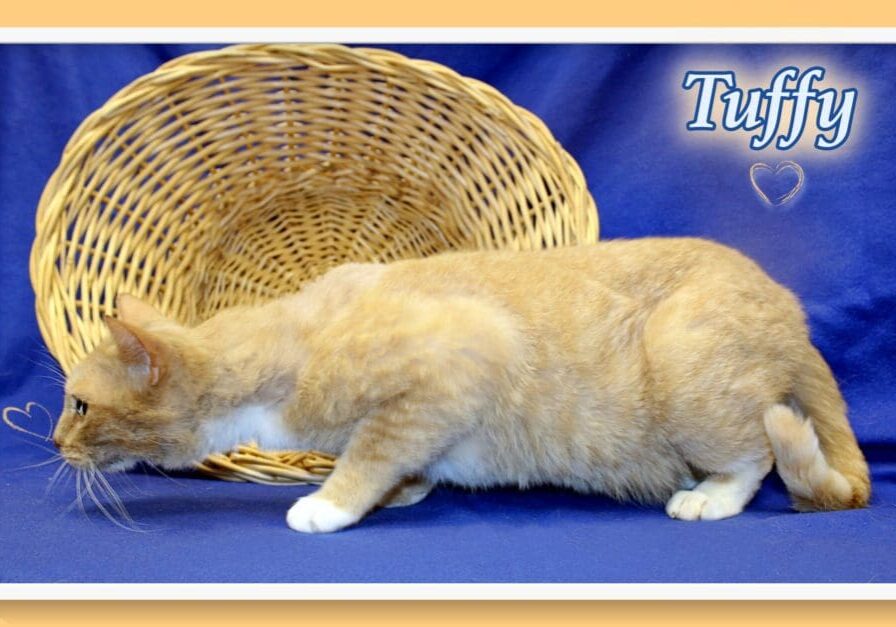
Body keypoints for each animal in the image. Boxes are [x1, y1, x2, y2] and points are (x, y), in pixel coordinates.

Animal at [49, 238, 868, 532]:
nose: (54, 441)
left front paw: (330, 502)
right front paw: (403, 492)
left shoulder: (461, 359)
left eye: (79, 403)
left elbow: (370, 452)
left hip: (682, 361)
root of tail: (786, 302)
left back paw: (709, 496)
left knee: (758, 452)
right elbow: (400, 459)